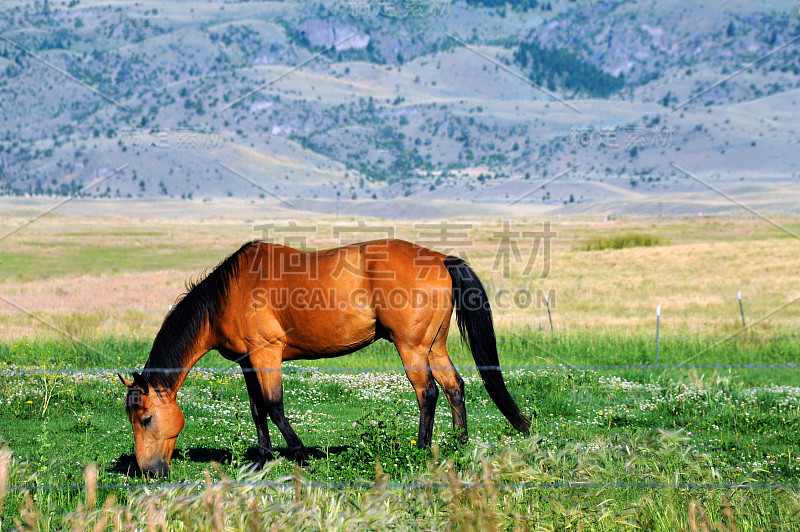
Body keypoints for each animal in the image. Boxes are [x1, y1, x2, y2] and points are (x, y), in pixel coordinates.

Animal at [119, 239, 528, 476]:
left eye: (146, 418)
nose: (148, 471)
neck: (229, 294)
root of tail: (441, 259)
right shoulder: (248, 362)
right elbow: (257, 410)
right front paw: (262, 459)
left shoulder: (267, 355)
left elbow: (274, 406)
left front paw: (300, 454)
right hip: (434, 346)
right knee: (455, 386)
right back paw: (458, 445)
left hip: (411, 348)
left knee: (427, 393)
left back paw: (422, 448)